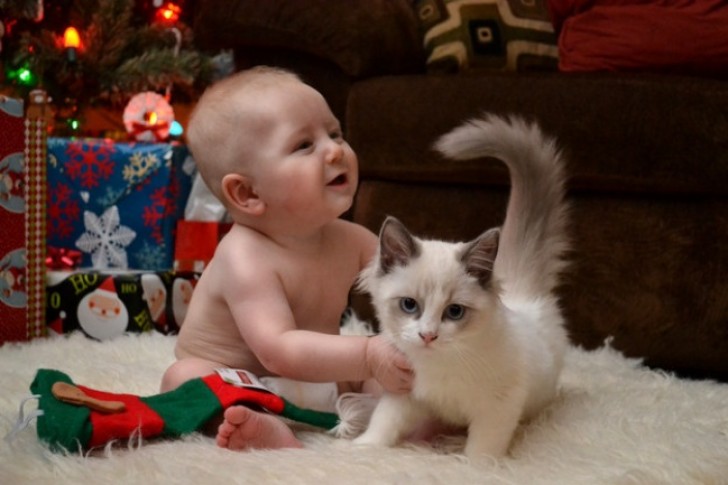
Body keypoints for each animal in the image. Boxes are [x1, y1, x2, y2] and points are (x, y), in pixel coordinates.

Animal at [352, 112, 568, 458]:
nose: (428, 336)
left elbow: (482, 450)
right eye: (409, 305)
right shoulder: (406, 392)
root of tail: (524, 294)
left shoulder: (499, 406)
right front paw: (360, 448)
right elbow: (383, 423)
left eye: (454, 312)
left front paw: (470, 465)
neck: (439, 365)